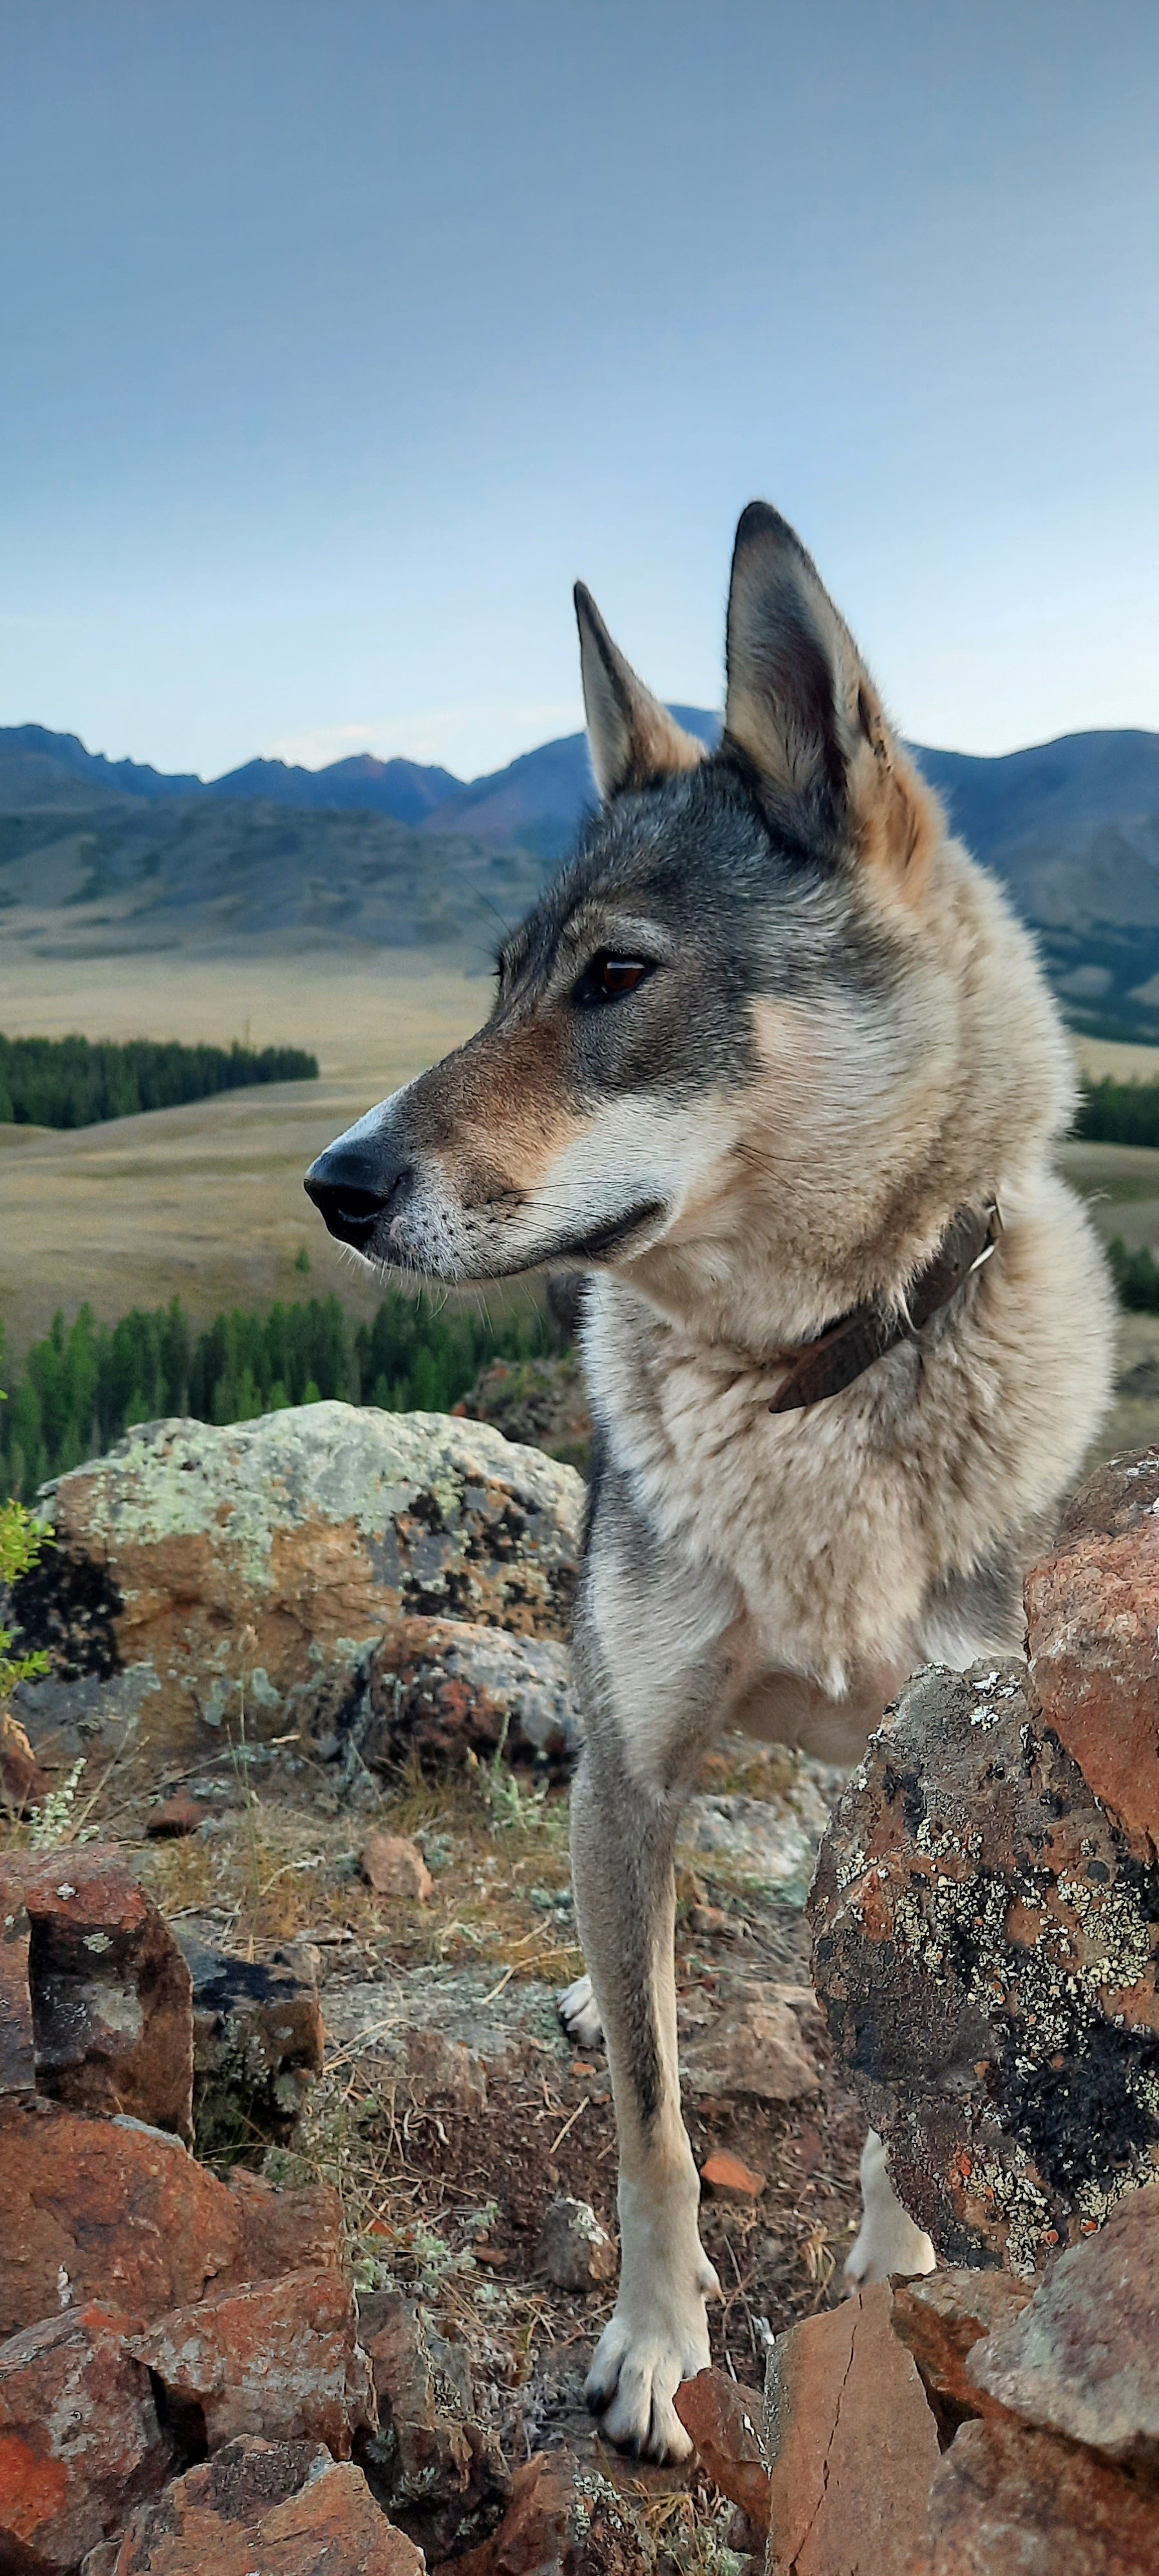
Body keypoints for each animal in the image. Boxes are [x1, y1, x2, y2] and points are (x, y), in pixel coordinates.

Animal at [305, 497, 1113, 2452]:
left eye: (616, 975)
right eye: (500, 981)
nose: (333, 1184)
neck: (806, 1381)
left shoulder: (938, 1777)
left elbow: (902, 2057)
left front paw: (890, 2260)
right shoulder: (640, 1759)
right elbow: (657, 2117)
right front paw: (657, 2350)